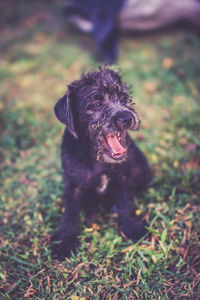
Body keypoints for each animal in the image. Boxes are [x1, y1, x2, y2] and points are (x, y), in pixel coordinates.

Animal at [52, 67, 151, 258]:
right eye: (97, 103)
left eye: (123, 99)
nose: (127, 118)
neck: (96, 158)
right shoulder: (73, 186)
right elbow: (70, 214)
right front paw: (65, 242)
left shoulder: (124, 179)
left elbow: (126, 204)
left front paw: (133, 228)